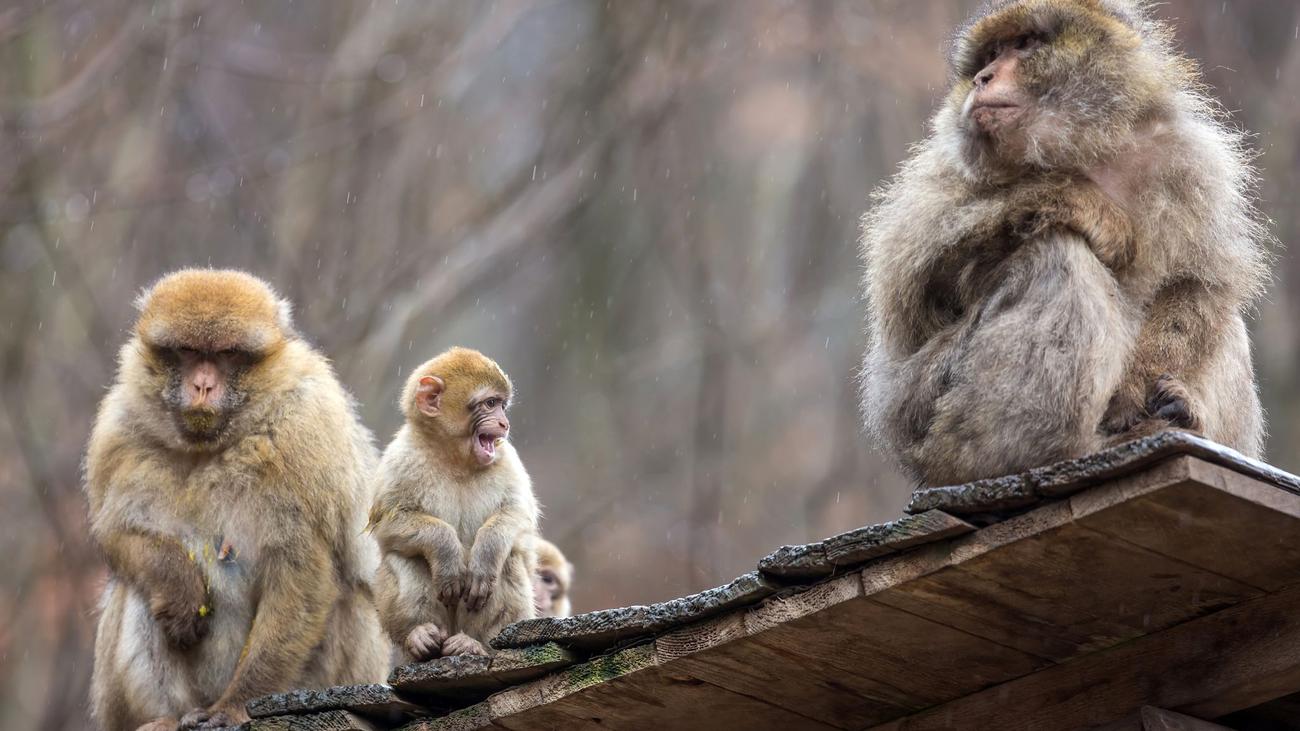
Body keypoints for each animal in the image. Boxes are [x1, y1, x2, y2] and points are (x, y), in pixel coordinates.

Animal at [85, 269, 389, 731]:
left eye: (227, 354)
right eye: (188, 351)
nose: (203, 384)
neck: (209, 446)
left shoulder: (308, 430)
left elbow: (303, 569)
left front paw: (237, 704)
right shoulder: (118, 429)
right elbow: (117, 533)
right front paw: (177, 583)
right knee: (134, 590)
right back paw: (165, 717)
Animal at [369, 347, 539, 661]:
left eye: (502, 406)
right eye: (490, 403)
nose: (504, 423)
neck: (455, 459)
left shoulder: (507, 459)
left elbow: (518, 515)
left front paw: (486, 555)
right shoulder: (399, 458)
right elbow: (389, 523)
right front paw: (445, 550)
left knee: (509, 559)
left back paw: (475, 644)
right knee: (404, 556)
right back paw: (420, 637)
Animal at [860, 0, 1270, 487]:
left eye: (1024, 44)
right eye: (991, 54)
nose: (982, 78)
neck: (1078, 148)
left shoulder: (1189, 159)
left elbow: (1199, 283)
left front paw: (1139, 391)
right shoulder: (943, 167)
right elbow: (913, 281)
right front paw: (1092, 207)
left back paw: (1176, 414)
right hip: (922, 408)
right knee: (1055, 253)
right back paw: (1026, 455)